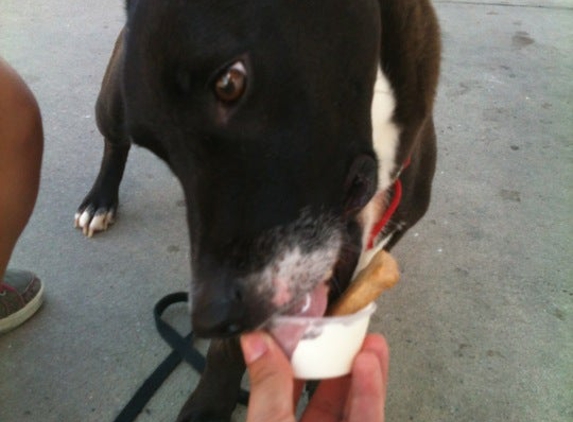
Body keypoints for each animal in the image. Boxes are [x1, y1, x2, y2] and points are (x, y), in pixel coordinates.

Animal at [76, 1, 440, 420]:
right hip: (113, 101)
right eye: (158, 146)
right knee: (114, 140)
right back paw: (100, 200)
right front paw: (212, 399)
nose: (208, 319)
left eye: (229, 83)